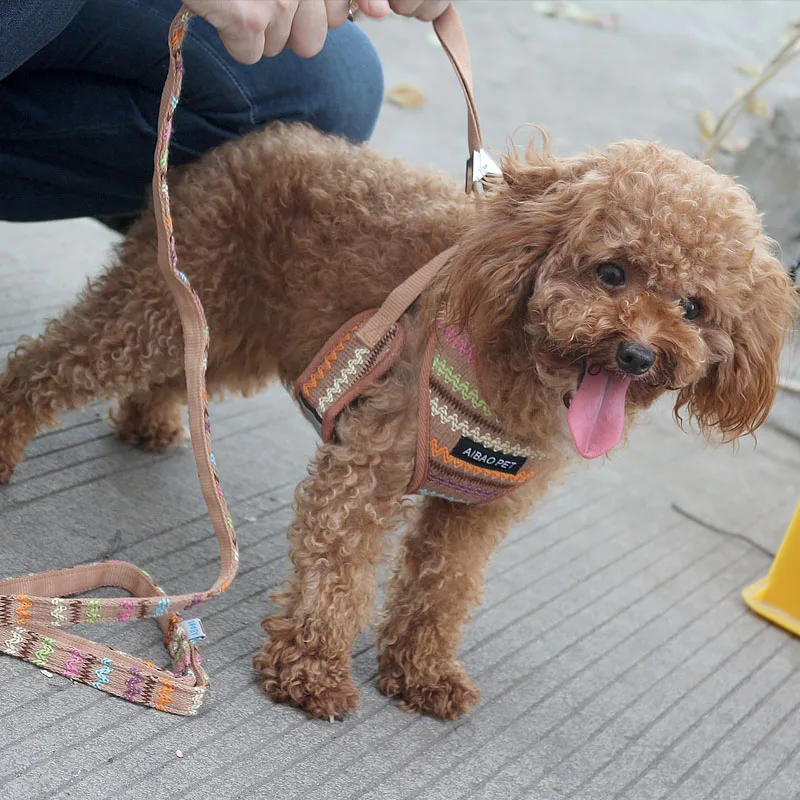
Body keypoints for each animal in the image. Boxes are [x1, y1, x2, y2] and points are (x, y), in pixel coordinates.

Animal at [0, 123, 792, 720]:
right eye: (612, 272)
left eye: (694, 307)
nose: (636, 354)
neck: (514, 369)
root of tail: (249, 141)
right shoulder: (368, 465)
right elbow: (340, 573)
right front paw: (311, 669)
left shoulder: (476, 512)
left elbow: (443, 590)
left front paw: (422, 674)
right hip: (161, 306)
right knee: (51, 363)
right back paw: (9, 441)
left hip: (241, 327)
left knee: (186, 370)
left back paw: (150, 421)